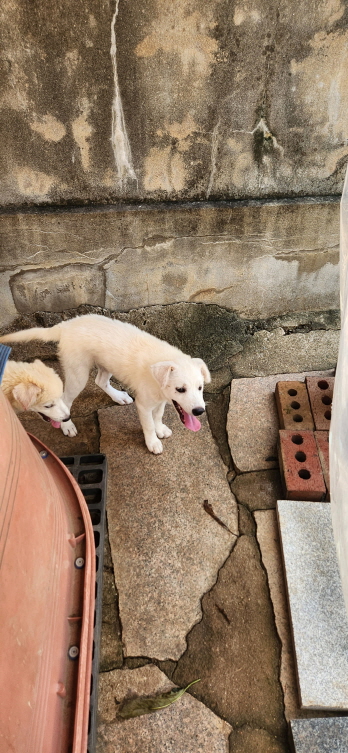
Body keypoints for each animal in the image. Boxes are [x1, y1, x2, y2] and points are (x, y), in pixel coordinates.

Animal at [0, 316, 209, 456]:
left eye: (200, 388)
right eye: (180, 389)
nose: (199, 411)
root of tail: (67, 324)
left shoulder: (162, 399)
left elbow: (158, 415)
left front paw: (160, 429)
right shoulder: (144, 404)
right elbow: (149, 424)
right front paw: (152, 442)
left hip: (106, 364)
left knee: (100, 381)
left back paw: (119, 397)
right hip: (78, 374)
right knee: (66, 400)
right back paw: (67, 425)